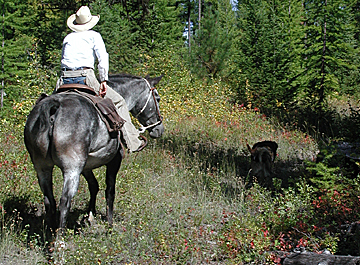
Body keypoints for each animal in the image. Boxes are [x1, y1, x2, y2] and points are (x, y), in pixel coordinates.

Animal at [25, 73, 165, 232]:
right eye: (157, 98)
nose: (159, 129)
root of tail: (54, 107)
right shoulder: (114, 160)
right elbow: (110, 191)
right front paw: (109, 225)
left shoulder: (86, 166)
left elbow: (94, 186)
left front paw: (90, 216)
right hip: (72, 168)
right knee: (64, 201)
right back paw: (60, 237)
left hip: (42, 167)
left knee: (49, 200)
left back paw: (49, 231)